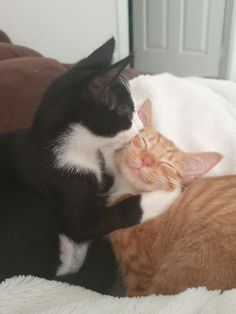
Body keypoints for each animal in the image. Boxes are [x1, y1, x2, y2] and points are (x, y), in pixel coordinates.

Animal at [0, 37, 159, 290]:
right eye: (127, 112)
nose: (141, 128)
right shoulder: (61, 179)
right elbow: (83, 226)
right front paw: (155, 198)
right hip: (30, 209)